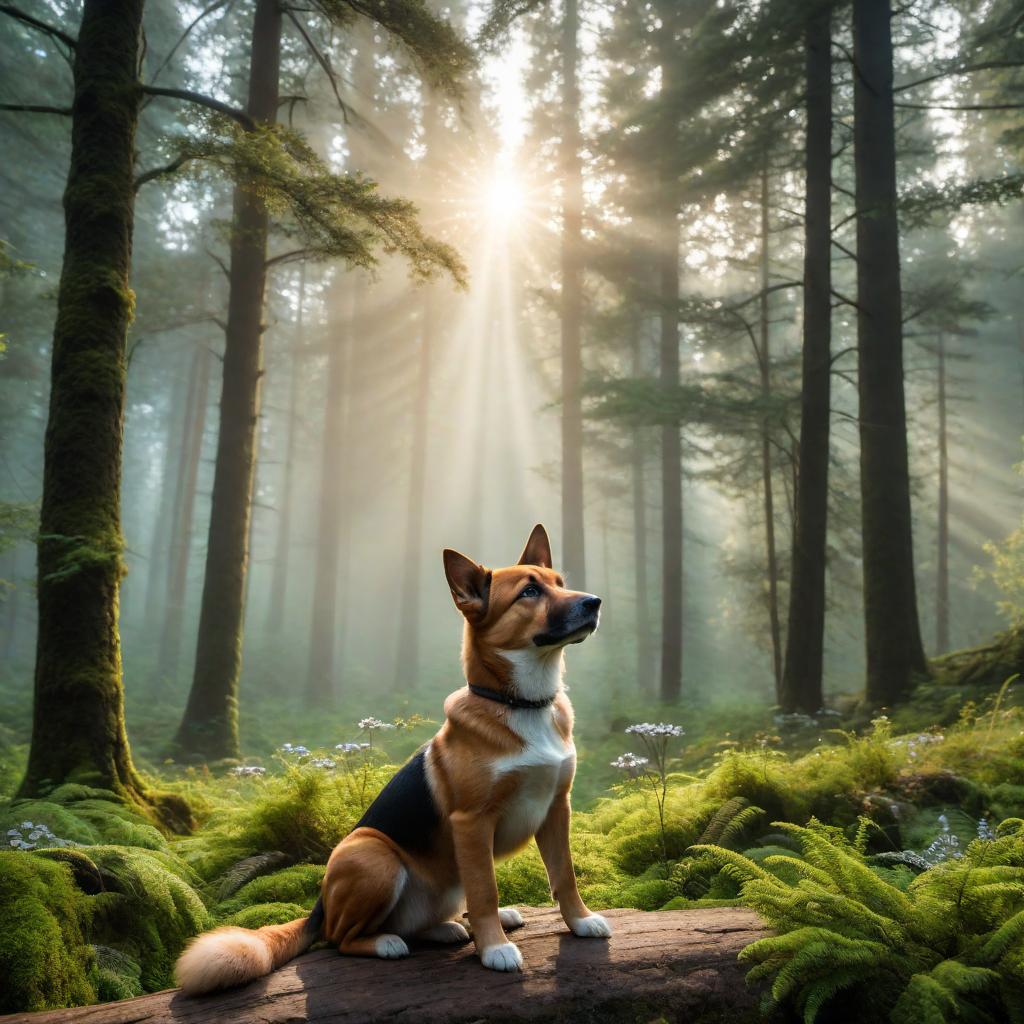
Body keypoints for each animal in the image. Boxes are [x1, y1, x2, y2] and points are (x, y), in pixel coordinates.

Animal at [175, 528, 606, 991]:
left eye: (560, 583)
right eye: (529, 592)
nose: (594, 602)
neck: (522, 704)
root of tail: (319, 907)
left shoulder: (556, 808)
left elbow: (564, 875)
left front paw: (580, 921)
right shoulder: (472, 822)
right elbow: (486, 891)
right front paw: (494, 948)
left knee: (427, 920)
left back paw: (452, 926)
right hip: (372, 855)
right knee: (340, 938)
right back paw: (386, 942)